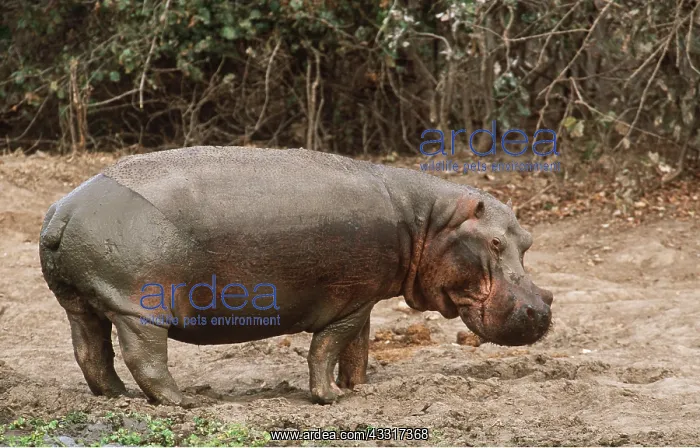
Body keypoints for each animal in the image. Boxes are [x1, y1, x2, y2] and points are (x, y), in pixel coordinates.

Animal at [39, 146, 553, 406]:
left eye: (528, 239)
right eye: (495, 243)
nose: (542, 310)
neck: (428, 221)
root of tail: (64, 210)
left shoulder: (365, 298)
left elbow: (358, 349)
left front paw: (360, 389)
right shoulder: (349, 301)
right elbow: (327, 348)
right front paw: (331, 399)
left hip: (78, 302)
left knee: (91, 351)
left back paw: (115, 397)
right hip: (138, 306)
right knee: (144, 356)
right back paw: (185, 402)